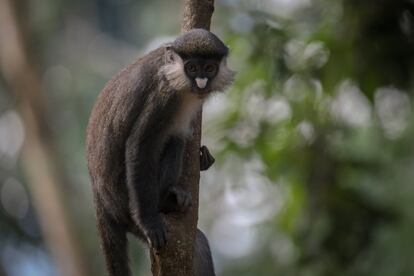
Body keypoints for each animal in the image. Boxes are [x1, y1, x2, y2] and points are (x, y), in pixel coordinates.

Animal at [85, 28, 234, 276]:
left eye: (209, 68)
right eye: (192, 68)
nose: (201, 82)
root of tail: (101, 200)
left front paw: (203, 158)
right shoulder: (163, 97)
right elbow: (139, 145)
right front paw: (150, 222)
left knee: (199, 245)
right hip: (127, 204)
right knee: (173, 140)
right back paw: (166, 200)